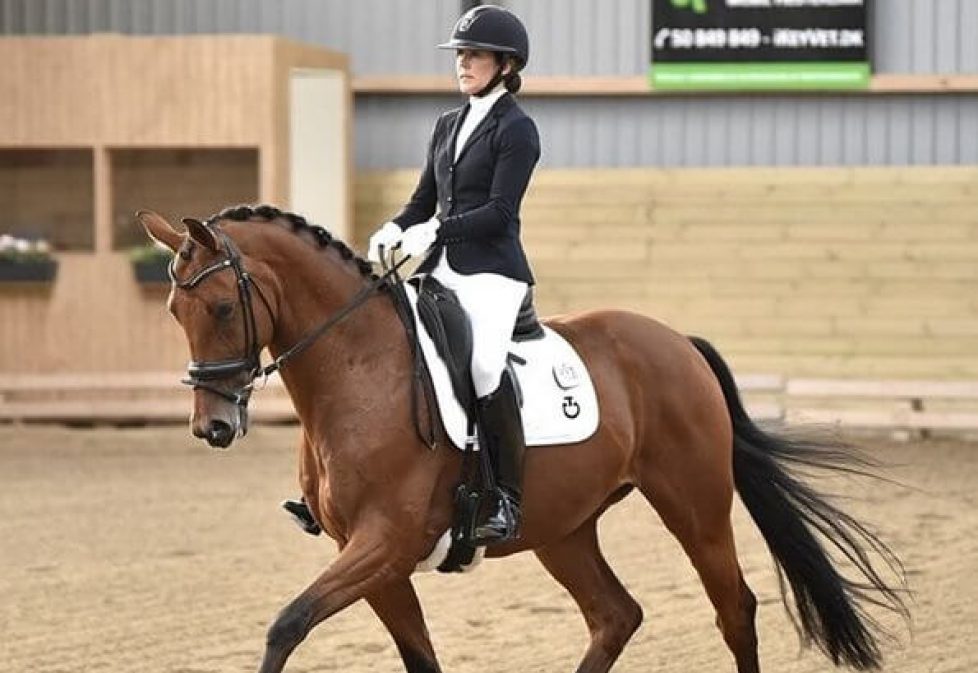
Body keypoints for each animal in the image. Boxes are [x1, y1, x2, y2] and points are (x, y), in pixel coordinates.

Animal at [133, 206, 904, 672]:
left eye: (222, 306)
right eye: (172, 310)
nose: (213, 426)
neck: (358, 370)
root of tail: (677, 340)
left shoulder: (384, 542)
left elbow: (286, 625)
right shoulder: (370, 556)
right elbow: (417, 657)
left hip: (695, 504)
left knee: (733, 609)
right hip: (563, 527)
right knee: (615, 615)